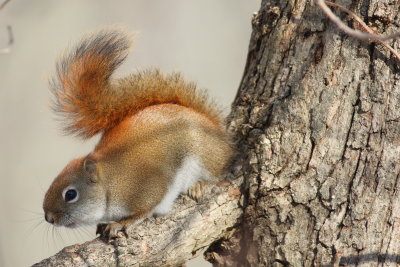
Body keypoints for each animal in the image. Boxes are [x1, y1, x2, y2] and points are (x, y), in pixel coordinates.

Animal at [42, 28, 233, 239]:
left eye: (70, 194)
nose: (48, 217)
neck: (109, 183)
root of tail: (215, 130)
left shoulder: (146, 189)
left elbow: (145, 210)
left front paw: (121, 223)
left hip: (205, 156)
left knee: (218, 174)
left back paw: (201, 185)